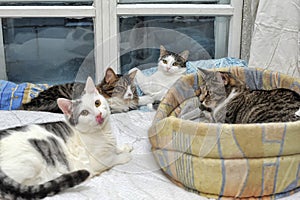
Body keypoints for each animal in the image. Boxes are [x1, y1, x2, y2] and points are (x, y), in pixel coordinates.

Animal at [0, 77, 132, 200]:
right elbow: (113, 159)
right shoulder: (99, 161)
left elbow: (115, 148)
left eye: (97, 103)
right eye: (84, 113)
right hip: (32, 160)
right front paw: (125, 156)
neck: (103, 133)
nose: (98, 115)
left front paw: (125, 147)